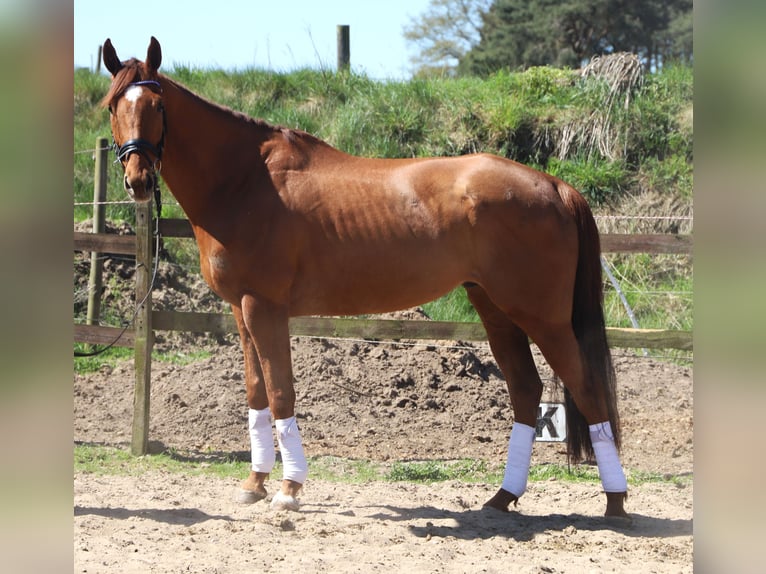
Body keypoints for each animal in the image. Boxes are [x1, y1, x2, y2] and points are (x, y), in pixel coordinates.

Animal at [101, 37, 629, 518]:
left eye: (157, 106)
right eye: (112, 106)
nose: (138, 180)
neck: (245, 180)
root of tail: (556, 186)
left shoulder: (264, 307)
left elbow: (281, 390)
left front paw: (289, 489)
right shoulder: (240, 309)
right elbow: (256, 391)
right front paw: (255, 483)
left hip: (544, 319)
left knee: (587, 389)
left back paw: (616, 502)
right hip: (497, 311)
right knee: (526, 391)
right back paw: (502, 497)